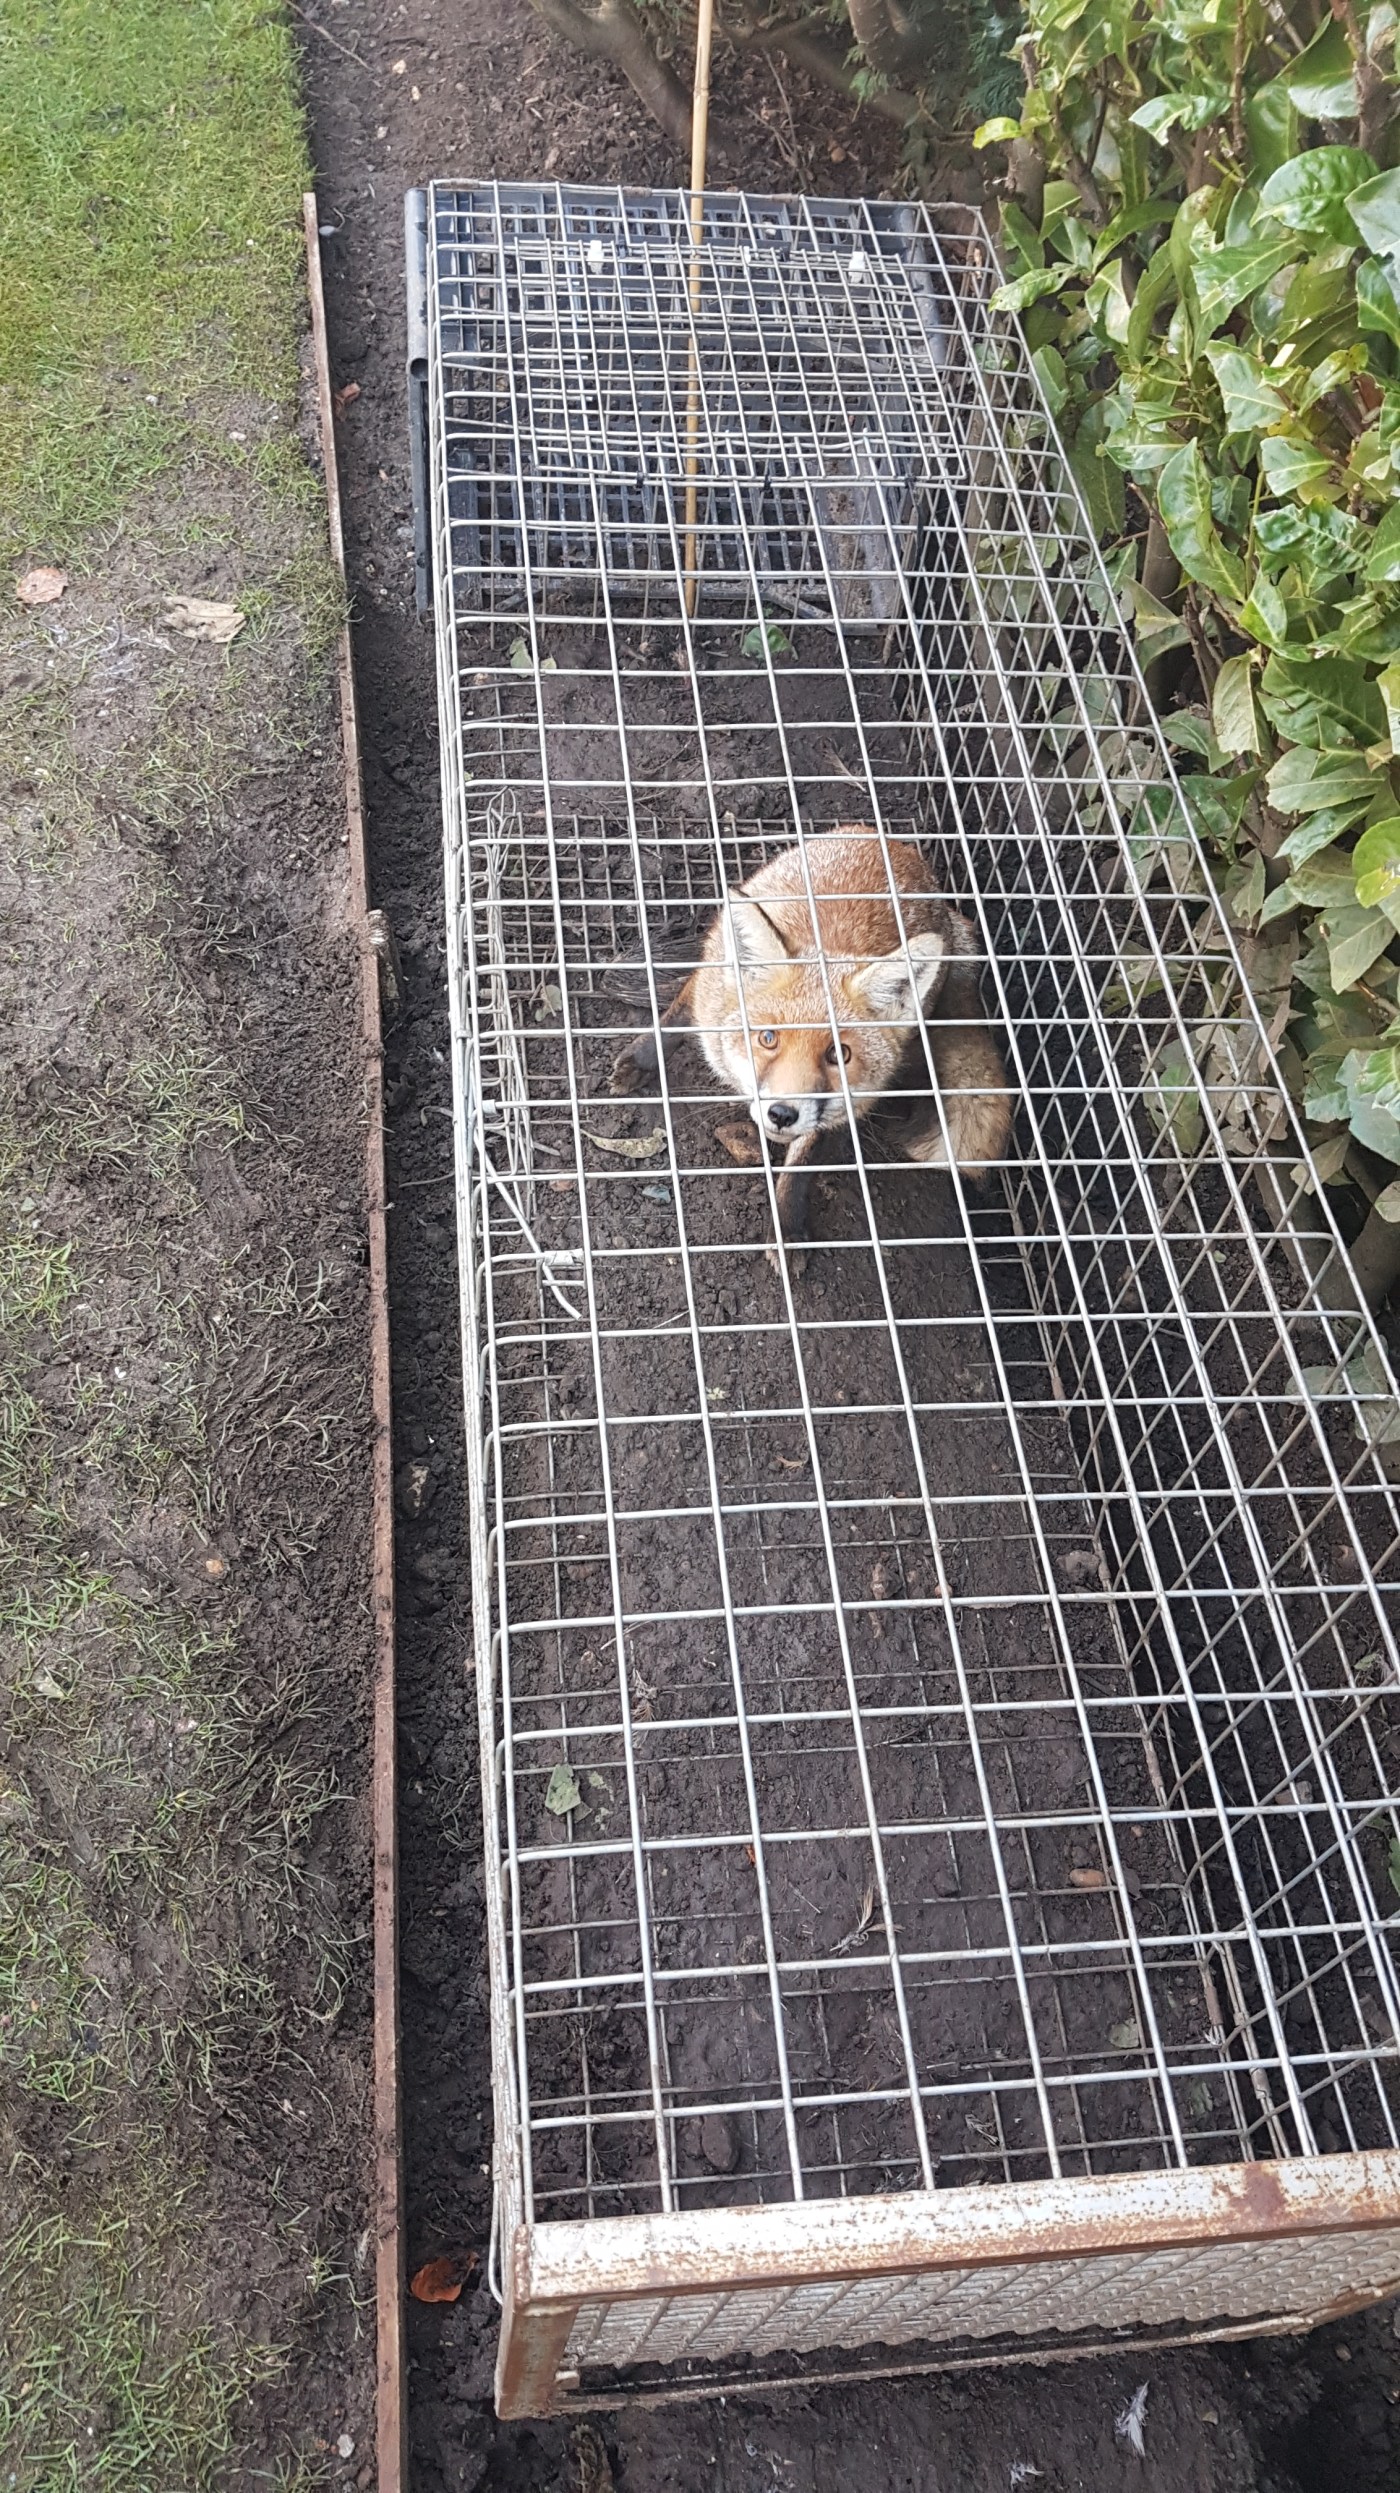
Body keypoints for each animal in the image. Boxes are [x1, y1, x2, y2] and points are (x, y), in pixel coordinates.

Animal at [611, 826, 1013, 1264]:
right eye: (768, 1038)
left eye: (839, 1054)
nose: (782, 1114)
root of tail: (891, 842)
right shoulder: (709, 996)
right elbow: (676, 1018)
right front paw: (642, 1060)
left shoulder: (847, 1105)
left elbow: (802, 1166)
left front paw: (787, 1227)